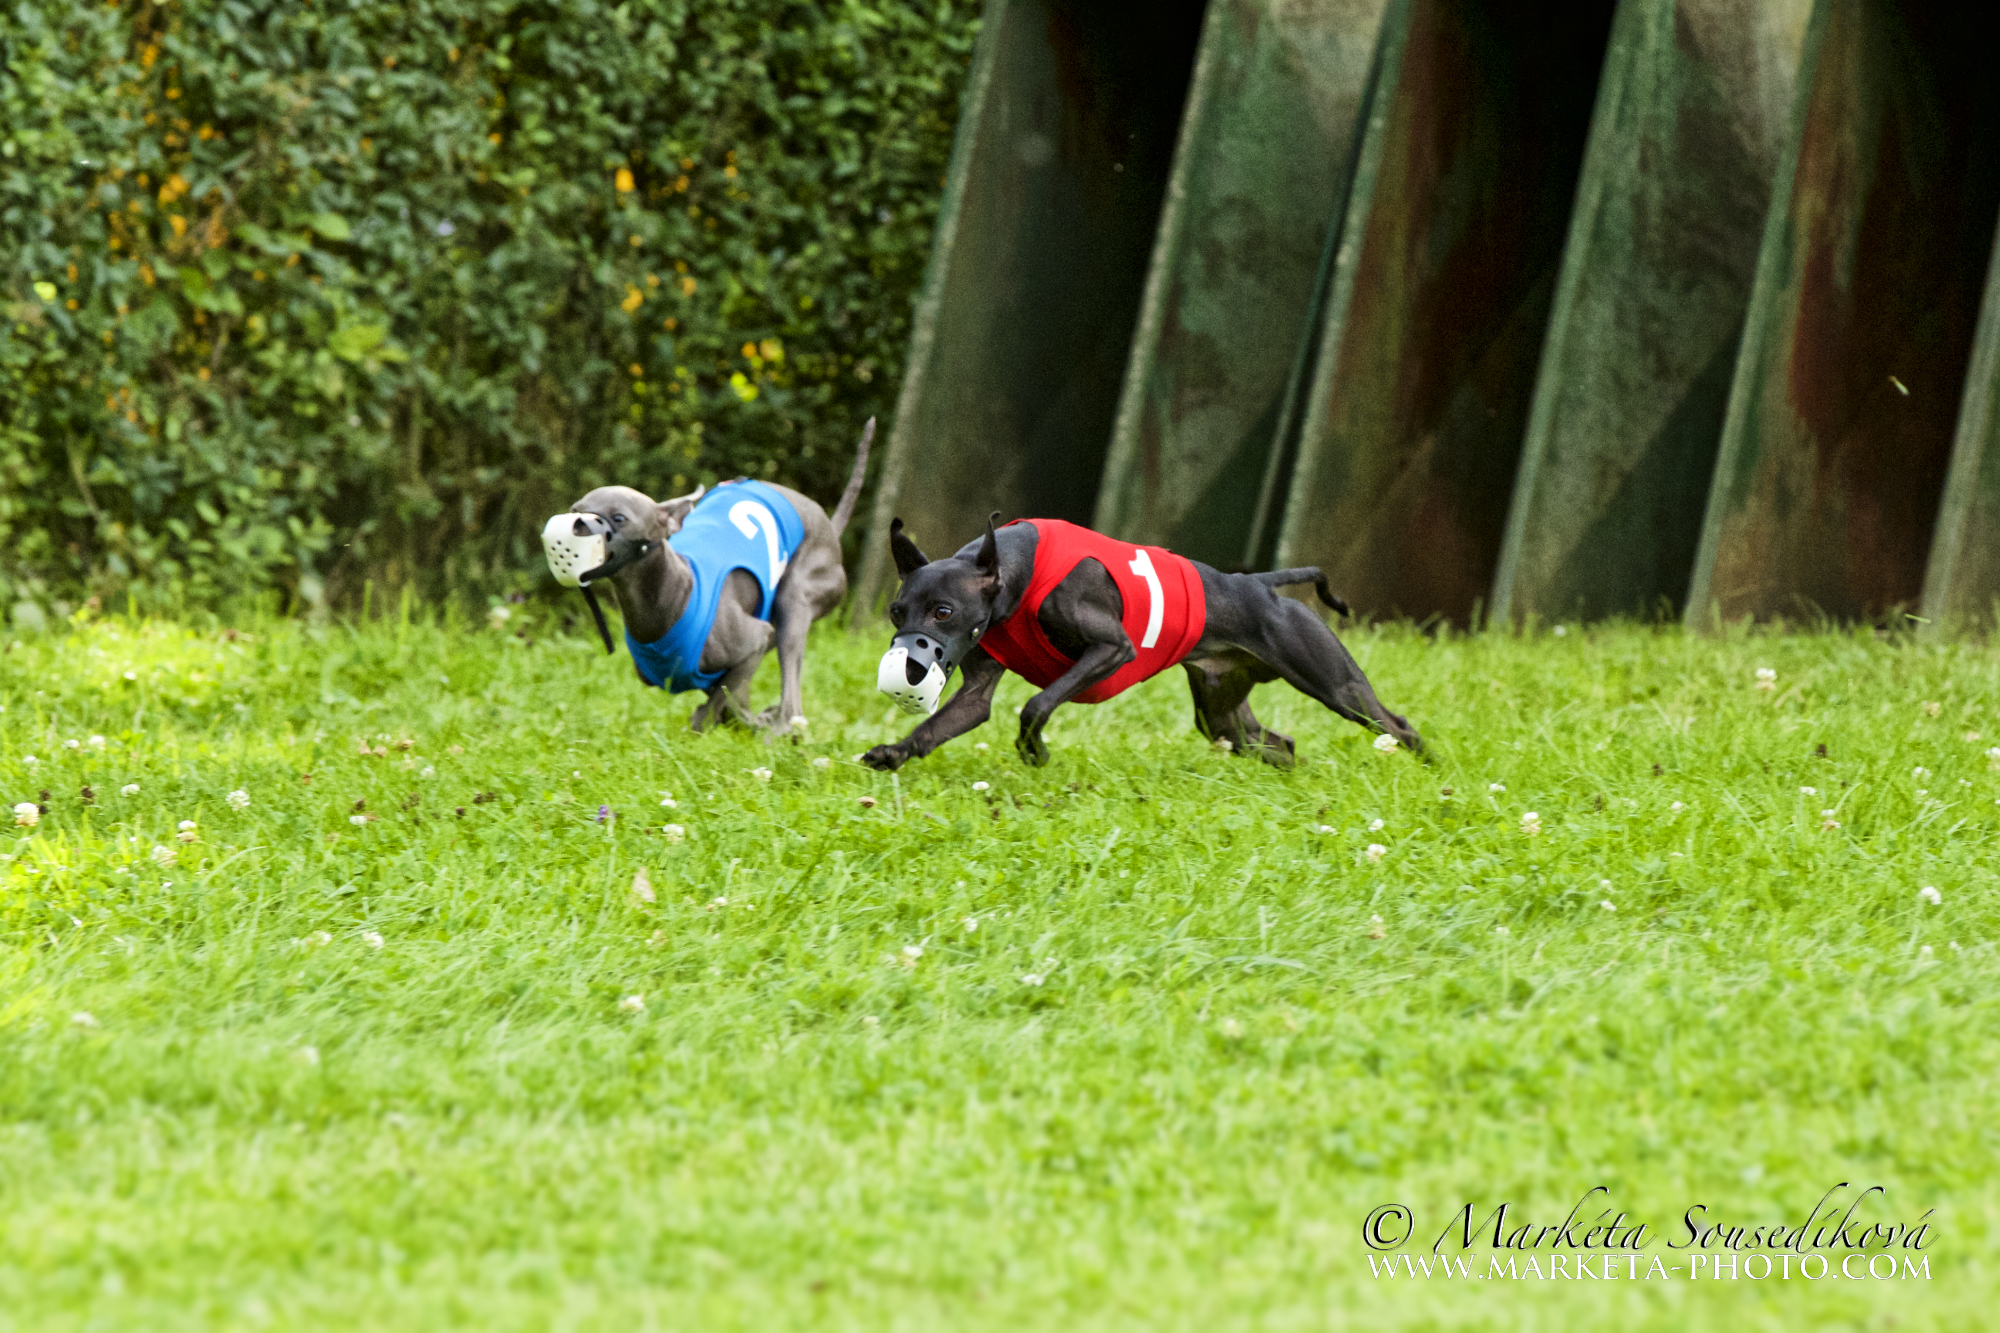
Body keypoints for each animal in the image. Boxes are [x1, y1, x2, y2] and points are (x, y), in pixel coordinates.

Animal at [568, 418, 872, 728]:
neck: (674, 594)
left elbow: (715, 705)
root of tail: (830, 529)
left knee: (791, 701)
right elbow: (727, 697)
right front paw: (746, 720)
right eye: (574, 509)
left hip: (796, 598)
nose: (576, 527)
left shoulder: (755, 640)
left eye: (619, 518)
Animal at [864, 512, 1424, 772]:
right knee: (1277, 743)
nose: (910, 667)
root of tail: (1261, 584)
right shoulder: (975, 690)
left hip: (1336, 685)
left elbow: (1036, 704)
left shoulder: (1111, 650)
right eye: (896, 612)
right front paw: (893, 752)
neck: (1016, 568)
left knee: (1398, 724)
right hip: (1221, 715)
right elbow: (943, 723)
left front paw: (1034, 751)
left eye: (943, 612)